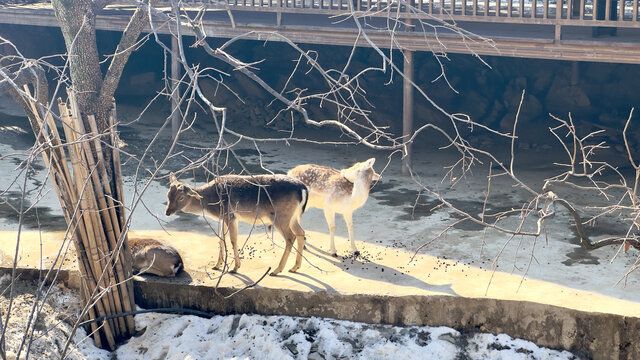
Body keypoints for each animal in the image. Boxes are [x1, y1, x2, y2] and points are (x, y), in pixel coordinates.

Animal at [164, 172, 306, 276]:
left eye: (181, 197)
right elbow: (221, 239)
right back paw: (295, 267)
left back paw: (276, 270)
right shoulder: (224, 218)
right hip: (293, 217)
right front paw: (217, 265)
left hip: (281, 216)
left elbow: (233, 239)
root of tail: (303, 188)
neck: (212, 202)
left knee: (291, 237)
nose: (167, 212)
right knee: (301, 233)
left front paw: (235, 267)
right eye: (168, 195)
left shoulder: (230, 215)